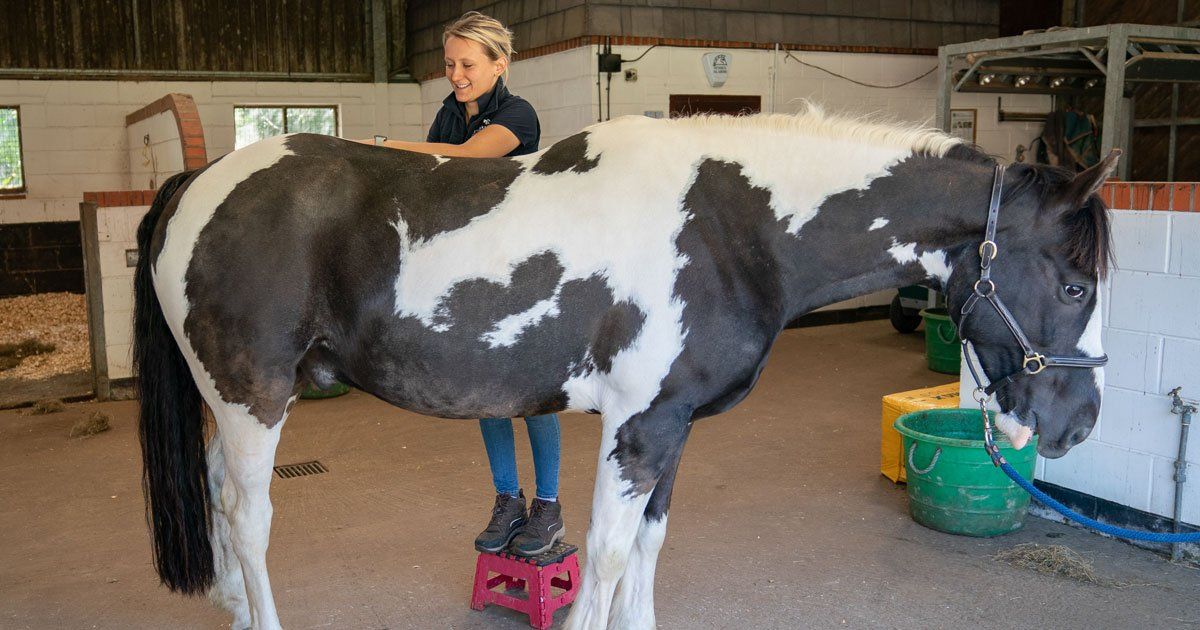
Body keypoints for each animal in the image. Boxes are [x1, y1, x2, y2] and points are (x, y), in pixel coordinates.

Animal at [133, 106, 1116, 629]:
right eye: (1073, 283)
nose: (1078, 424)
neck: (731, 228)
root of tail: (198, 183)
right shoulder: (635, 428)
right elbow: (605, 553)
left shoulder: (672, 429)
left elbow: (647, 546)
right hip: (254, 398)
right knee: (250, 519)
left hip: (229, 402)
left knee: (219, 499)